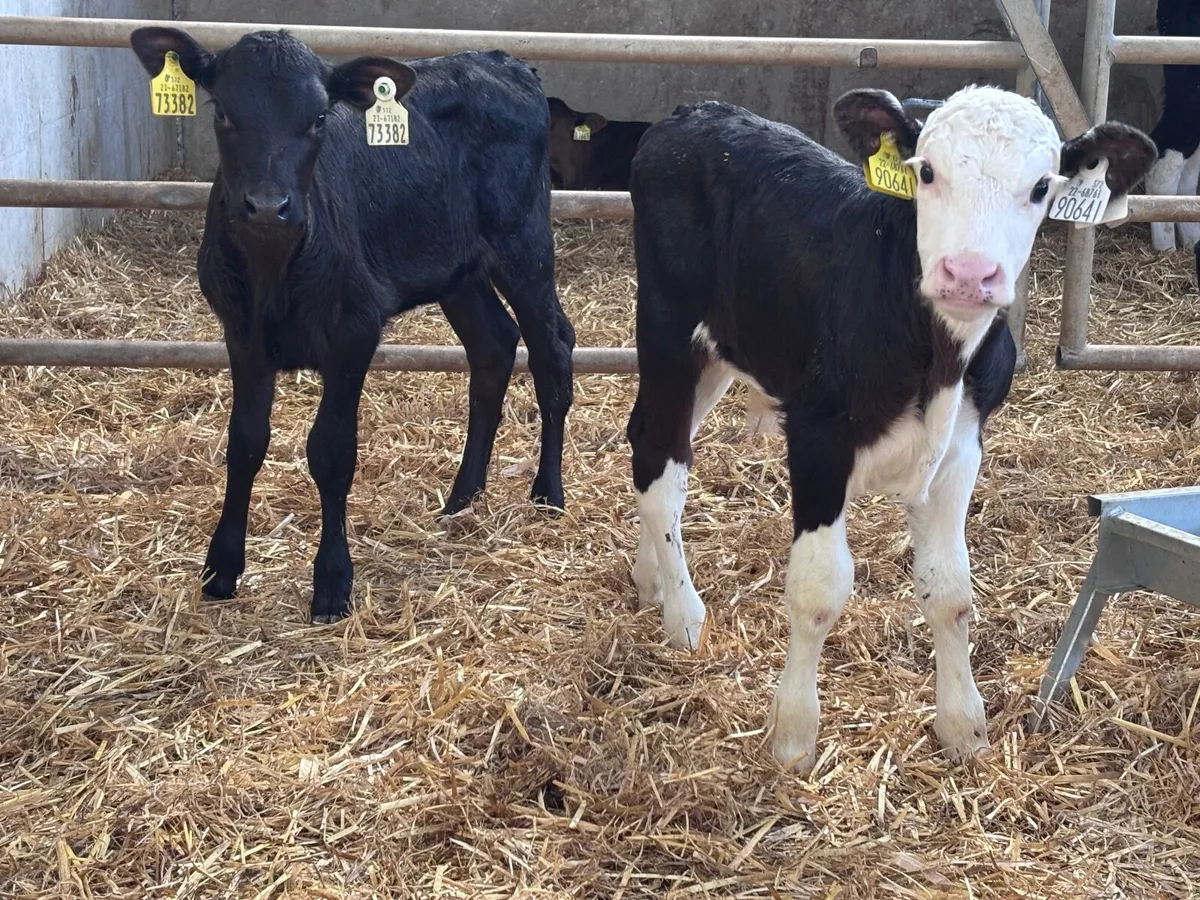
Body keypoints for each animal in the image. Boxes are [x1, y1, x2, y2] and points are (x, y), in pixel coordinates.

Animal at [129, 27, 576, 623]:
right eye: (222, 110)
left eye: (319, 117)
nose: (267, 206)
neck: (274, 272)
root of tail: (502, 59)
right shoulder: (241, 336)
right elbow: (245, 442)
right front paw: (222, 567)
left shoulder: (354, 332)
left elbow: (332, 450)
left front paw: (332, 583)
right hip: (457, 270)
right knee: (494, 347)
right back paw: (462, 498)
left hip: (524, 243)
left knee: (552, 347)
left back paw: (548, 494)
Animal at [624, 86, 1155, 773]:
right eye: (926, 172)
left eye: (1042, 186)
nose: (968, 273)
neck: (938, 359)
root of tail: (696, 111)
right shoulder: (818, 439)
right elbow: (818, 588)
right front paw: (794, 735)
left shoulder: (962, 449)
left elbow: (950, 588)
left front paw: (963, 727)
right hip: (668, 332)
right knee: (661, 461)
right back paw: (685, 616)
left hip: (719, 353)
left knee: (656, 444)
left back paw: (653, 583)